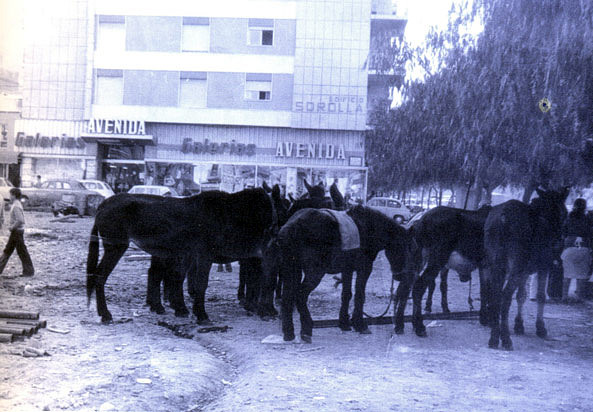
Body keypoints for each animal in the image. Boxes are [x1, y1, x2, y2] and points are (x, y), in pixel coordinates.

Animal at [86, 188, 276, 324]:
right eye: (265, 220)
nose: (272, 242)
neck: (229, 216)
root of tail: (104, 203)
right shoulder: (204, 256)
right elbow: (200, 284)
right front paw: (201, 315)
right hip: (116, 246)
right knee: (99, 275)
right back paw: (105, 314)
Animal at [274, 204, 410, 342]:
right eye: (403, 249)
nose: (400, 276)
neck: (368, 227)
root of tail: (291, 226)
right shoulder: (365, 268)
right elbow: (359, 295)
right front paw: (359, 324)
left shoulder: (347, 269)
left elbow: (346, 294)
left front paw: (344, 323)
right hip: (315, 272)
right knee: (300, 295)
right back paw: (306, 329)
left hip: (292, 269)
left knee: (287, 297)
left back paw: (289, 332)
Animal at [400, 204, 492, 336]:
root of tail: (422, 220)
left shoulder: (485, 265)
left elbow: (485, 290)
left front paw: (484, 318)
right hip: (437, 258)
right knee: (419, 286)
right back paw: (419, 326)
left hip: (419, 259)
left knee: (406, 286)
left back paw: (400, 325)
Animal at [480, 188, 568, 350]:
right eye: (564, 211)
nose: (560, 238)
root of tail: (504, 217)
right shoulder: (544, 265)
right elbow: (540, 296)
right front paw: (540, 327)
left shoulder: (526, 270)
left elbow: (521, 295)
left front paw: (519, 325)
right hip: (516, 263)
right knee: (505, 296)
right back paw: (505, 338)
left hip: (496, 263)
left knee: (494, 294)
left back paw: (494, 335)